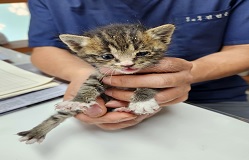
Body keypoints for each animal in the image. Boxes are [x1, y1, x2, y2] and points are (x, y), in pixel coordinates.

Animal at [17, 23, 175, 144]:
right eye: (107, 56)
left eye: (142, 53)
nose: (127, 65)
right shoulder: (99, 74)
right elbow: (89, 85)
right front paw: (78, 100)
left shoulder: (158, 75)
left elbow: (149, 83)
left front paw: (142, 101)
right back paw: (36, 131)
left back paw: (125, 109)